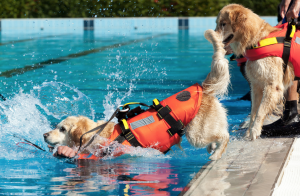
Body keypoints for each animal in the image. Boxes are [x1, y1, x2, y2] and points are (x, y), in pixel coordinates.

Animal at [42, 29, 230, 160]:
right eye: (56, 126)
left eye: (62, 129)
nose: (44, 135)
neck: (95, 135)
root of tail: (203, 88)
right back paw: (212, 148)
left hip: (196, 134)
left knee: (225, 136)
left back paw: (216, 154)